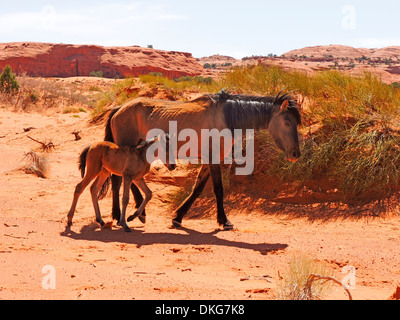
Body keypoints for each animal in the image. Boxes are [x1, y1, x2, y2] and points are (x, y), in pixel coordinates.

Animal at [102, 90, 300, 230]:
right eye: (287, 123)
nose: (296, 154)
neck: (226, 118)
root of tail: (119, 109)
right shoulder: (213, 160)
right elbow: (218, 190)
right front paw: (224, 221)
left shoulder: (208, 160)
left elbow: (197, 188)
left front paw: (178, 217)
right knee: (119, 179)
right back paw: (128, 214)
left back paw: (127, 214)